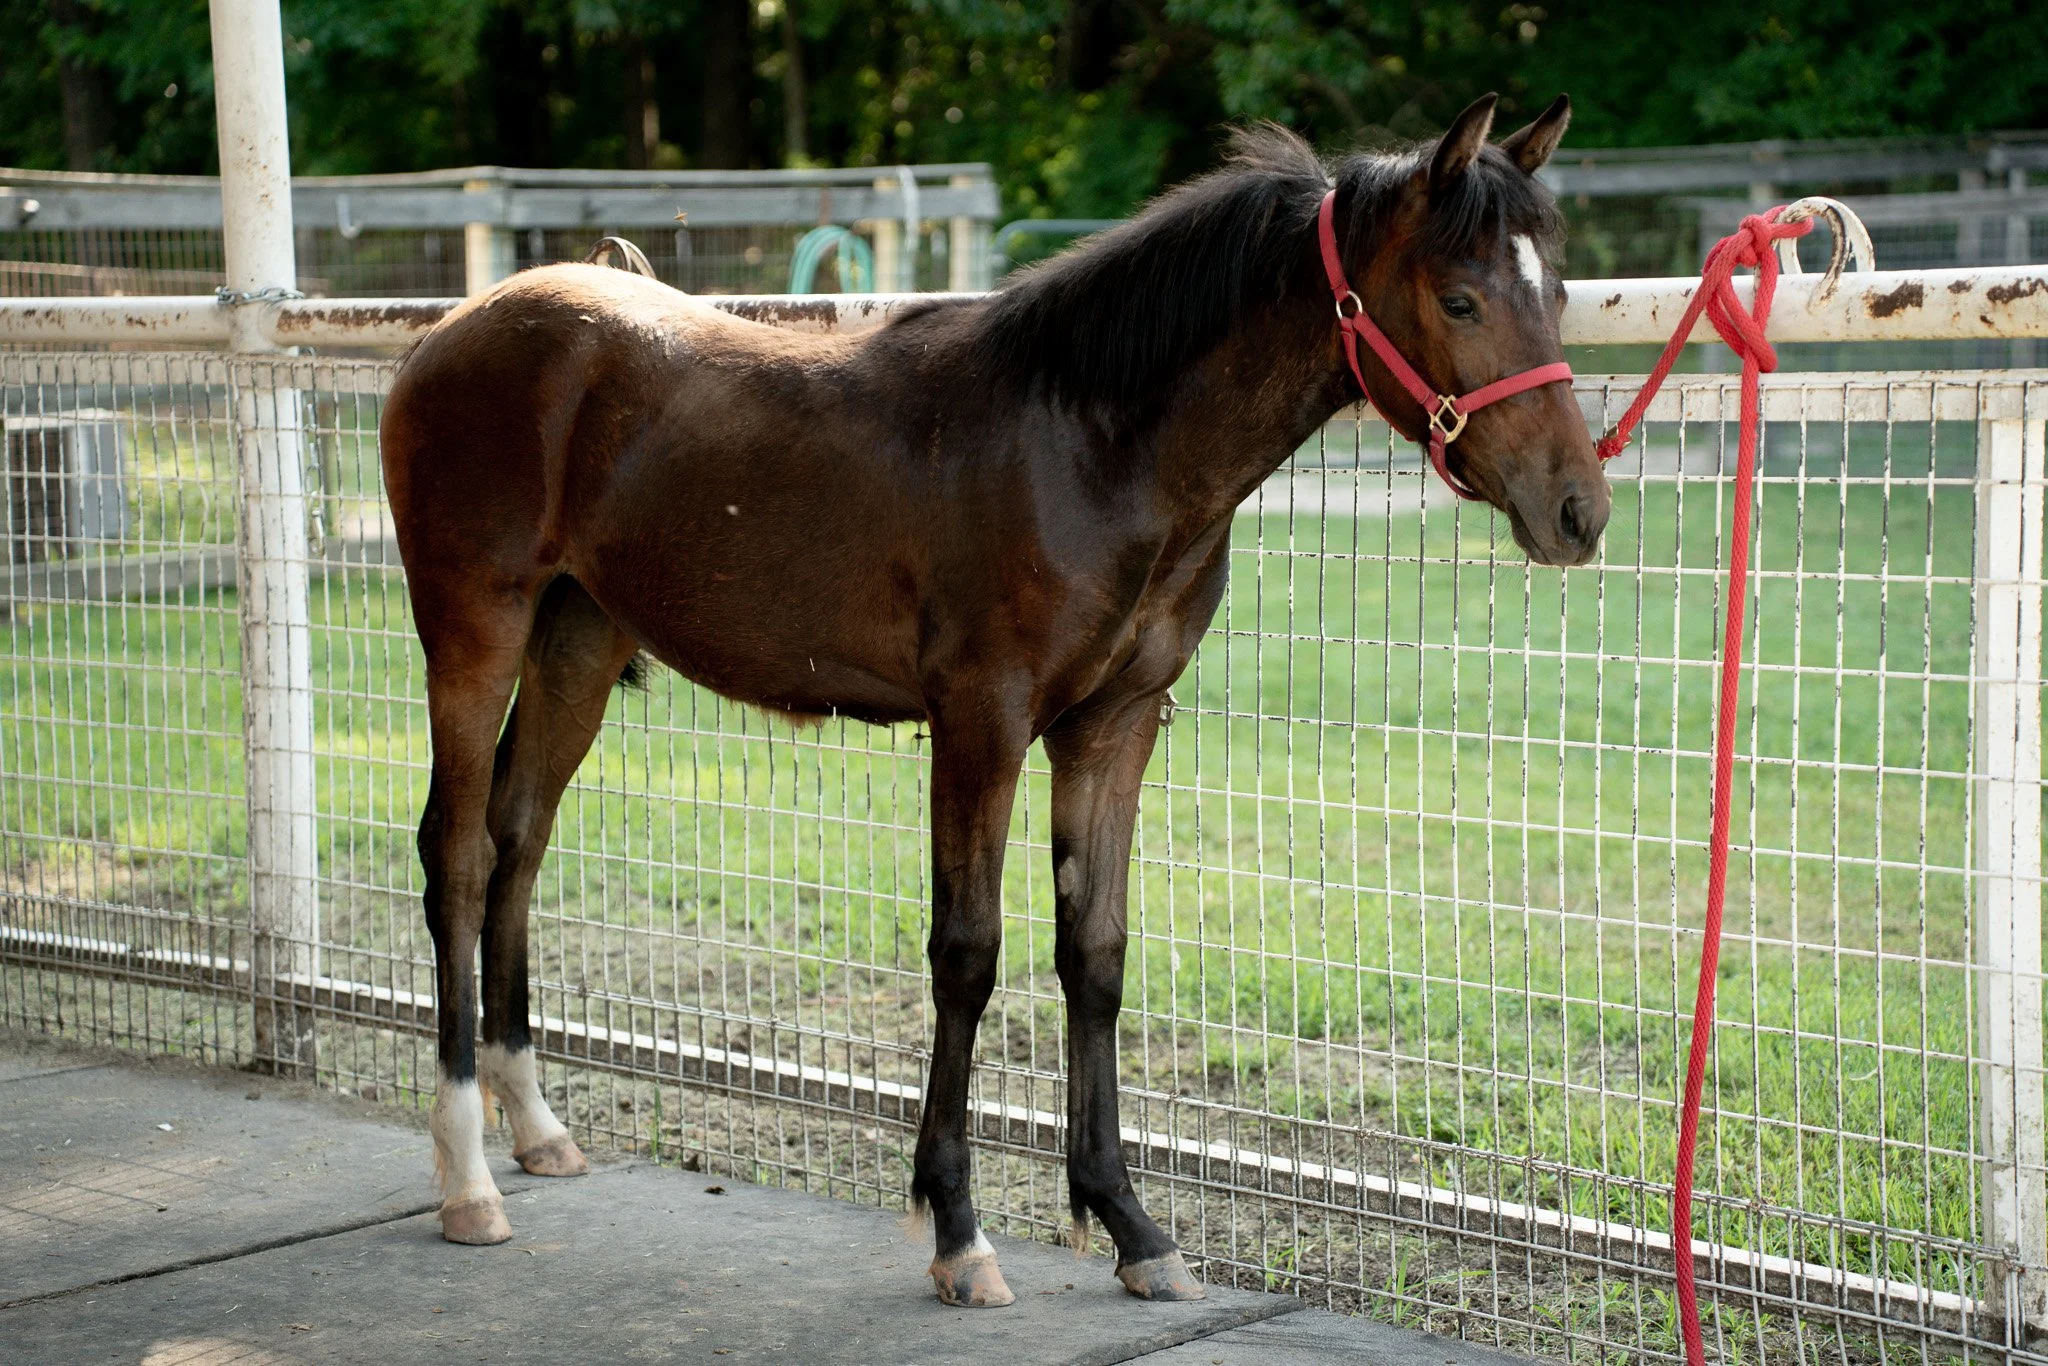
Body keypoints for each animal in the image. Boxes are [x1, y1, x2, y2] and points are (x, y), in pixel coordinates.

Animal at [379, 91, 1608, 1308]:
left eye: (1554, 287)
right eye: (1458, 297)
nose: (1578, 511)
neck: (1090, 444)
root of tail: (458, 327)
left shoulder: (1112, 729)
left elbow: (1094, 955)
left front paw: (1129, 1224)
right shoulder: (981, 722)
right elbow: (966, 956)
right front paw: (957, 1228)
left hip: (577, 644)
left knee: (519, 840)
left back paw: (534, 1126)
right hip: (474, 632)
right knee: (459, 855)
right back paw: (465, 1176)